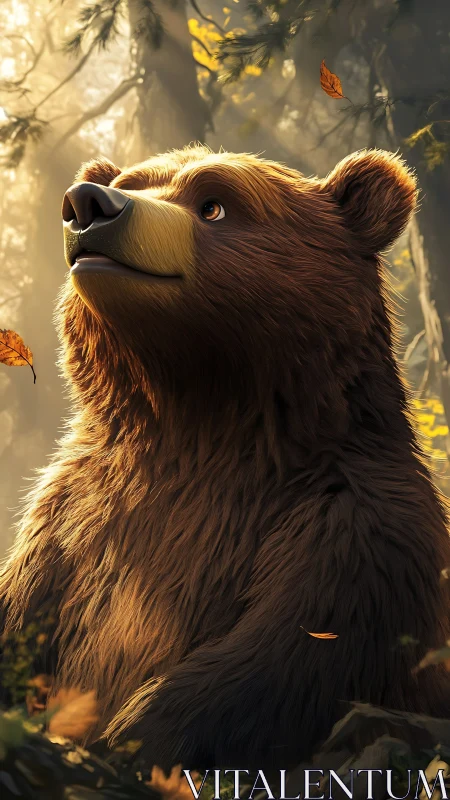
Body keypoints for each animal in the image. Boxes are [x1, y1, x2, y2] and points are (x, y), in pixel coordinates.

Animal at [0, 145, 449, 772]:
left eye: (214, 204)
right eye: (130, 182)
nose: (88, 204)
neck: (199, 422)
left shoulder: (354, 526)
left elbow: (283, 657)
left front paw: (130, 735)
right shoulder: (68, 522)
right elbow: (23, 612)